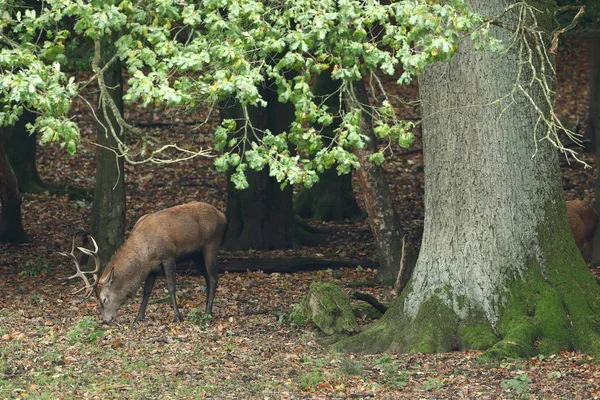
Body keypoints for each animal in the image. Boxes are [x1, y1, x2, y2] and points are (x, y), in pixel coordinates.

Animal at [61, 202, 225, 324]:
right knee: (207, 277)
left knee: (213, 277)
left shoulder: (168, 256)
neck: (146, 254)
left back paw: (208, 313)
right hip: (196, 255)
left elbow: (171, 287)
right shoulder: (152, 267)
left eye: (104, 299)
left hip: (211, 243)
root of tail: (222, 216)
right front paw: (138, 317)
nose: (106, 320)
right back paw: (206, 309)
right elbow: (146, 291)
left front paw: (177, 317)